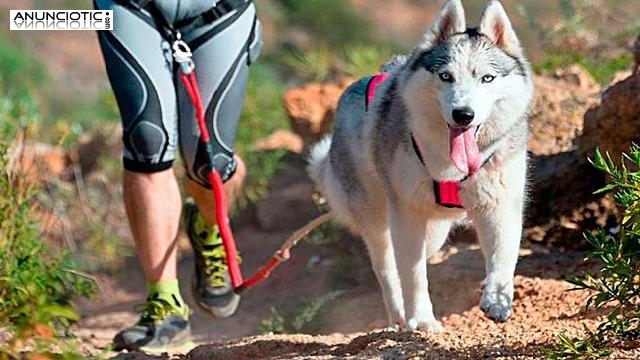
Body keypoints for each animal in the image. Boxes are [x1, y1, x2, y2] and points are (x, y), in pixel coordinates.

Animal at [310, 0, 536, 332]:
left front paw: (497, 300)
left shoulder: (500, 205)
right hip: (377, 220)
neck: (451, 169)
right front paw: (423, 320)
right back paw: (398, 318)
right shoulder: (407, 214)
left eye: (487, 78)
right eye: (445, 76)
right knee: (388, 269)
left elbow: (502, 257)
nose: (463, 114)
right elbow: (413, 276)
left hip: (435, 232)